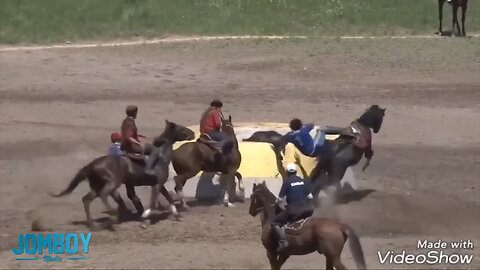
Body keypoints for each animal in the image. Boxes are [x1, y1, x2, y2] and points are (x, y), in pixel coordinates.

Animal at [50, 120, 195, 230]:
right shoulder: (157, 185)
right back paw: (113, 215)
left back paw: (94, 225)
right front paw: (144, 220)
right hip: (112, 183)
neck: (161, 159)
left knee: (86, 200)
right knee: (103, 195)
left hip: (96, 186)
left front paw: (178, 216)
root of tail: (91, 165)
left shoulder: (159, 185)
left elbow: (169, 199)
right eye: (181, 128)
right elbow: (153, 203)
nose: (193, 133)